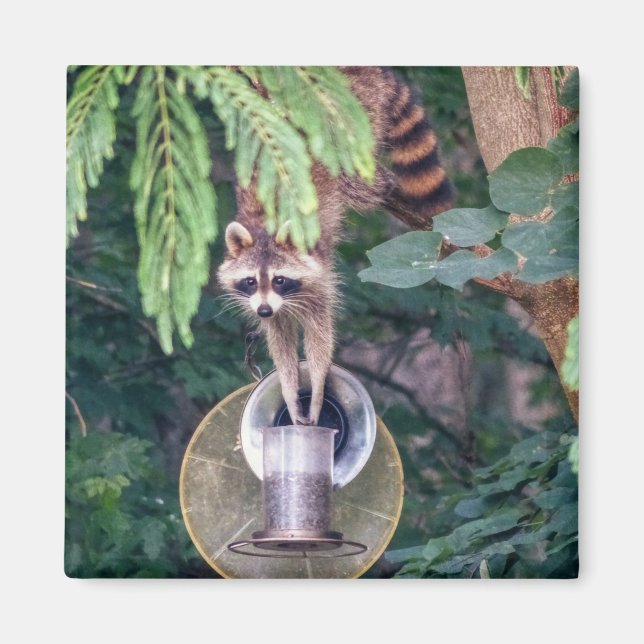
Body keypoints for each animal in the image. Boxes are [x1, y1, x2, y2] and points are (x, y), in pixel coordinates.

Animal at [217, 67, 453, 425]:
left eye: (280, 279)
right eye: (250, 281)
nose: (264, 310)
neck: (265, 230)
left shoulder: (319, 271)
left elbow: (320, 330)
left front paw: (316, 388)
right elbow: (280, 336)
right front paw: (289, 388)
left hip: (356, 115)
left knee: (359, 179)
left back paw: (384, 183)